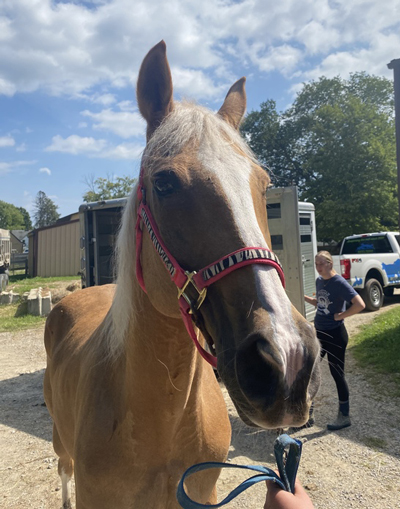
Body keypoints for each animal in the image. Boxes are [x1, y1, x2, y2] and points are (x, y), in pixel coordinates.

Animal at [43, 41, 320, 506]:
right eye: (164, 183)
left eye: (263, 185)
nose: (287, 356)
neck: (161, 424)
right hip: (60, 441)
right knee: (63, 467)